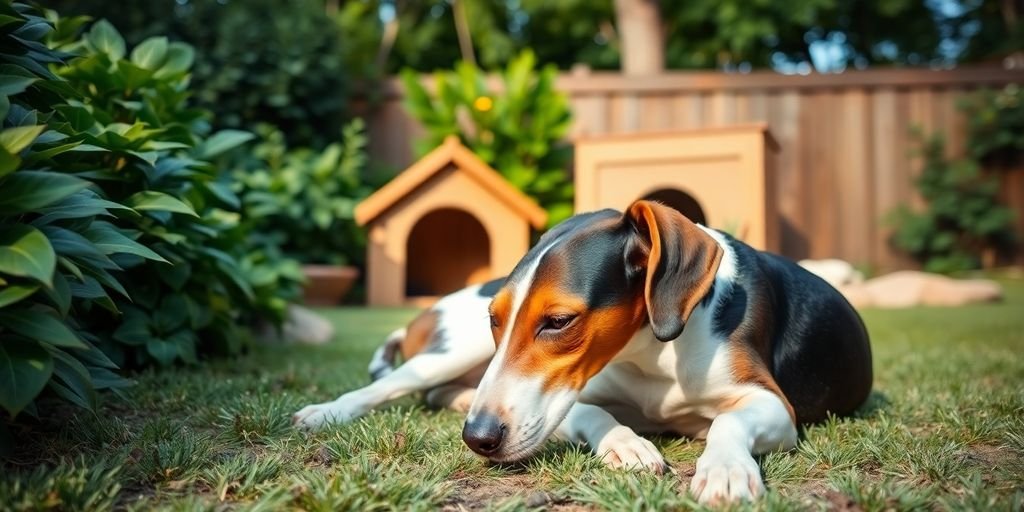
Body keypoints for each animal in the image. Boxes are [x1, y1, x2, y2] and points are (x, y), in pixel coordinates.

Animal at [290, 200, 872, 503]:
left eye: (559, 322)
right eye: (496, 319)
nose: (478, 438)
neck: (652, 354)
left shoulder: (772, 404)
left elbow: (729, 421)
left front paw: (726, 468)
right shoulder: (565, 399)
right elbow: (592, 413)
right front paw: (627, 443)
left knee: (437, 394)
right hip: (451, 351)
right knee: (394, 385)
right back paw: (325, 412)